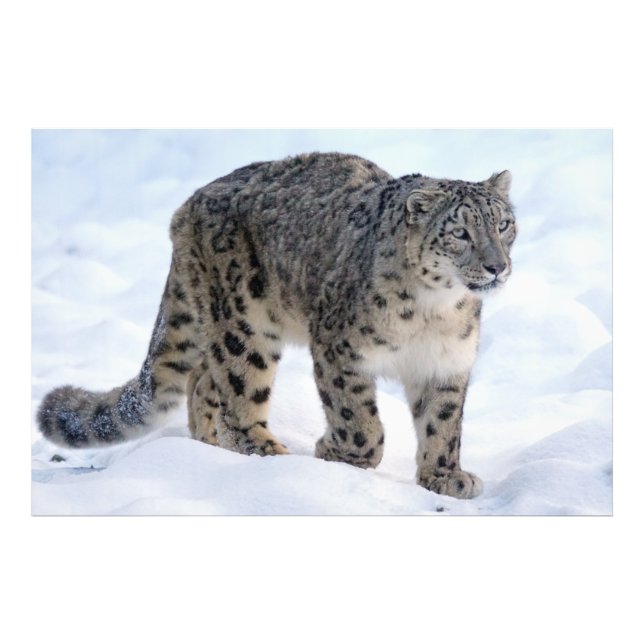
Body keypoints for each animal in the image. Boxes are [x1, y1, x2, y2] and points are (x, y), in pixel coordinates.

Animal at [37, 152, 516, 499]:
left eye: (504, 224)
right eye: (460, 232)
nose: (497, 266)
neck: (435, 310)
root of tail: (188, 206)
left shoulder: (446, 364)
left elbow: (443, 423)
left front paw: (444, 476)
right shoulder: (340, 350)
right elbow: (358, 419)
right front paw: (336, 452)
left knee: (202, 380)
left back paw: (208, 447)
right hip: (244, 325)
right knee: (236, 393)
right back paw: (266, 452)